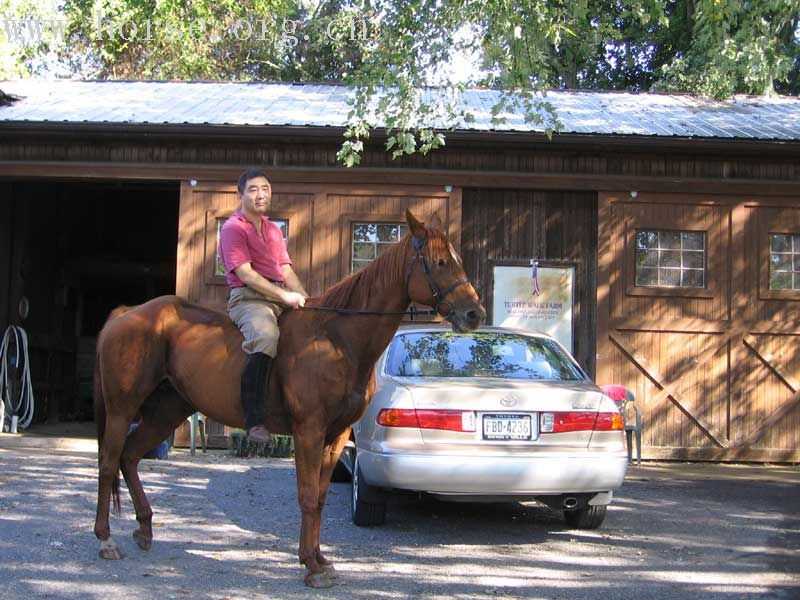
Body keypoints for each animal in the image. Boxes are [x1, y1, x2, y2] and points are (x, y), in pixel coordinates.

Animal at [92, 210, 482, 584]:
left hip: (166, 412)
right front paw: (310, 566)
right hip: (122, 409)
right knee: (109, 463)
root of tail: (127, 313)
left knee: (129, 457)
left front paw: (320, 560)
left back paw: (144, 529)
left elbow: (320, 498)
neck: (337, 339)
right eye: (441, 262)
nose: (474, 313)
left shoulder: (336, 435)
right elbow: (307, 496)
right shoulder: (308, 431)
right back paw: (106, 539)